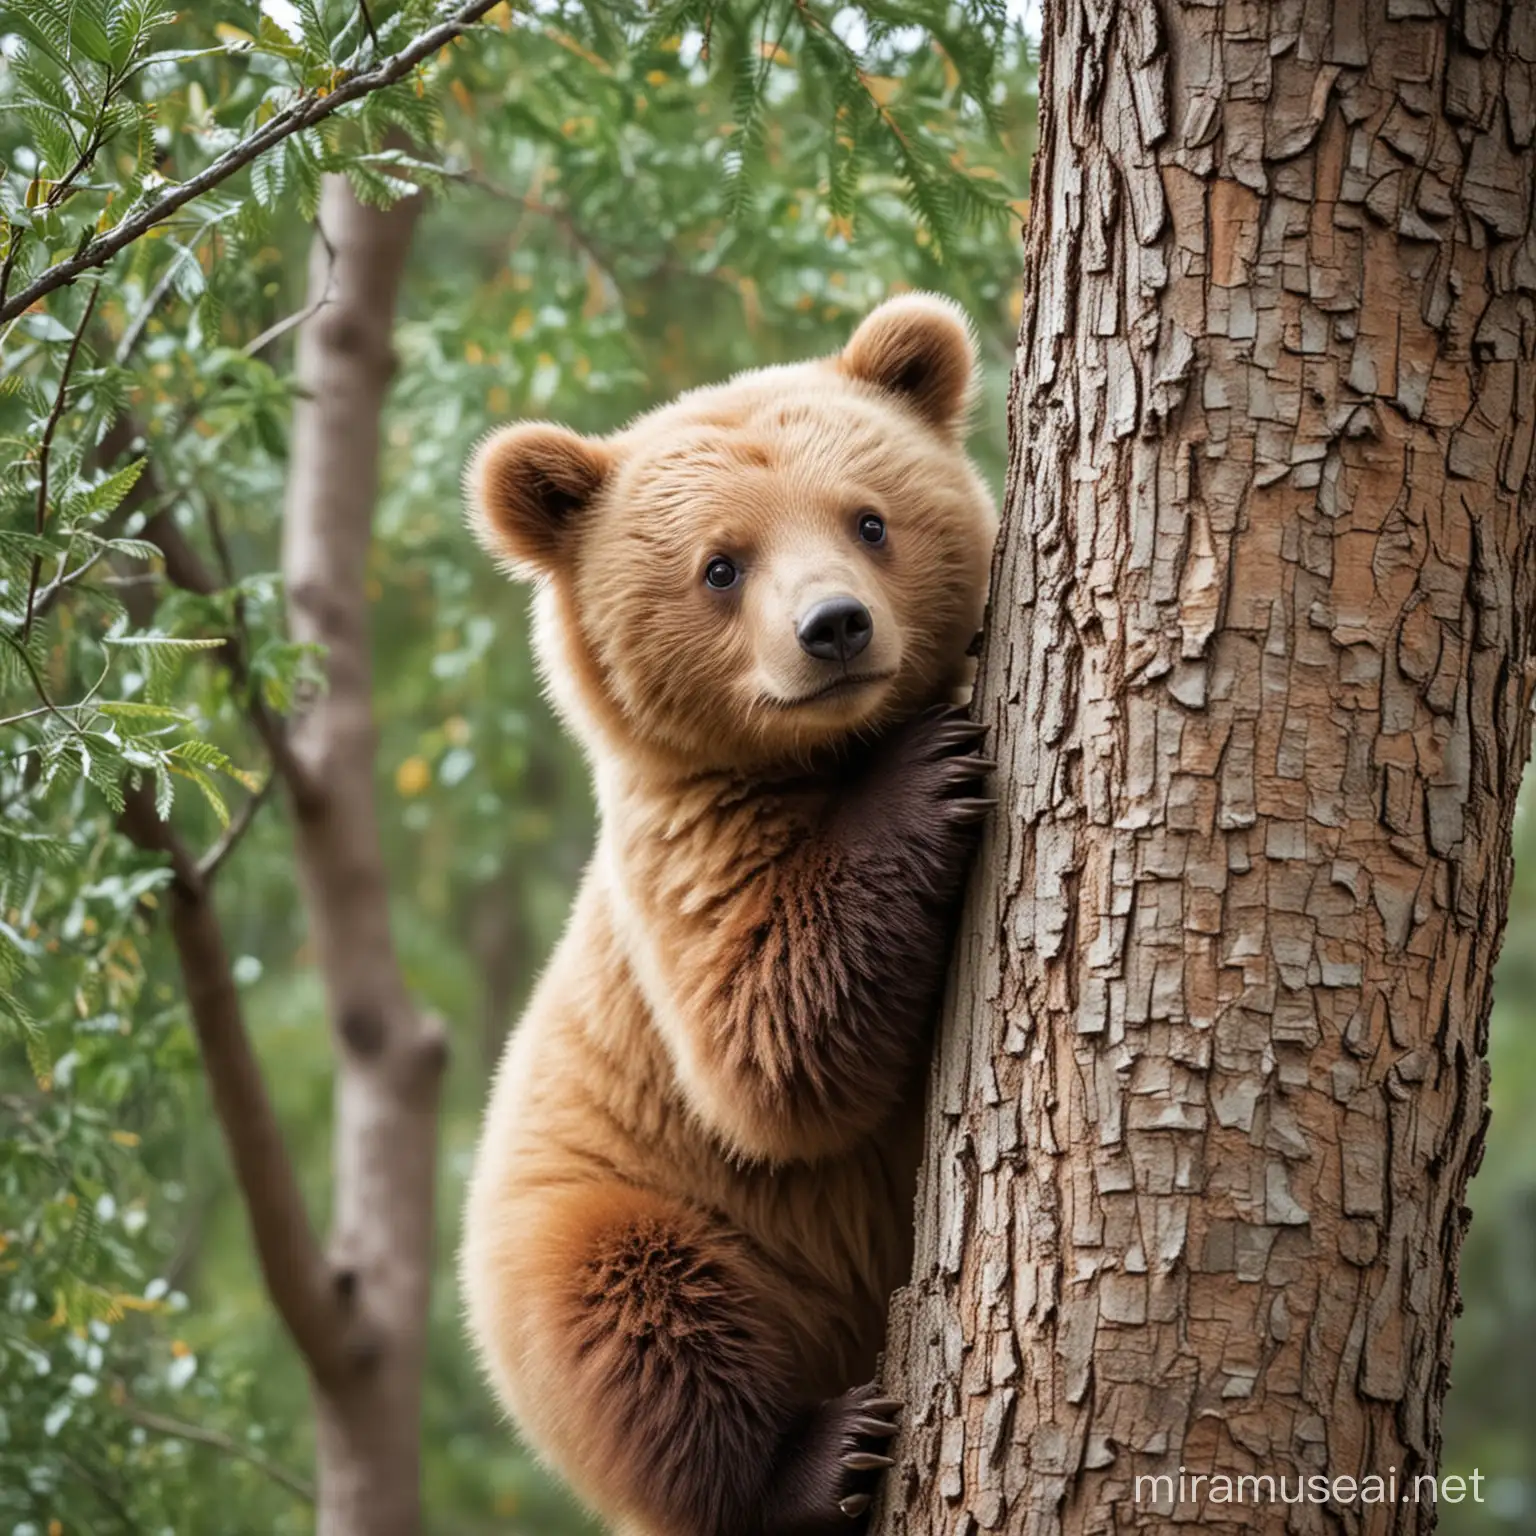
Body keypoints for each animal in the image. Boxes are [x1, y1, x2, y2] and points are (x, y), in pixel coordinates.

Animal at [457, 290, 995, 1536]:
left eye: (869, 520)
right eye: (720, 566)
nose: (835, 627)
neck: (819, 756)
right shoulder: (691, 866)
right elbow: (774, 1047)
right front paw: (929, 773)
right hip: (614, 1218)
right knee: (643, 1325)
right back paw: (819, 1459)